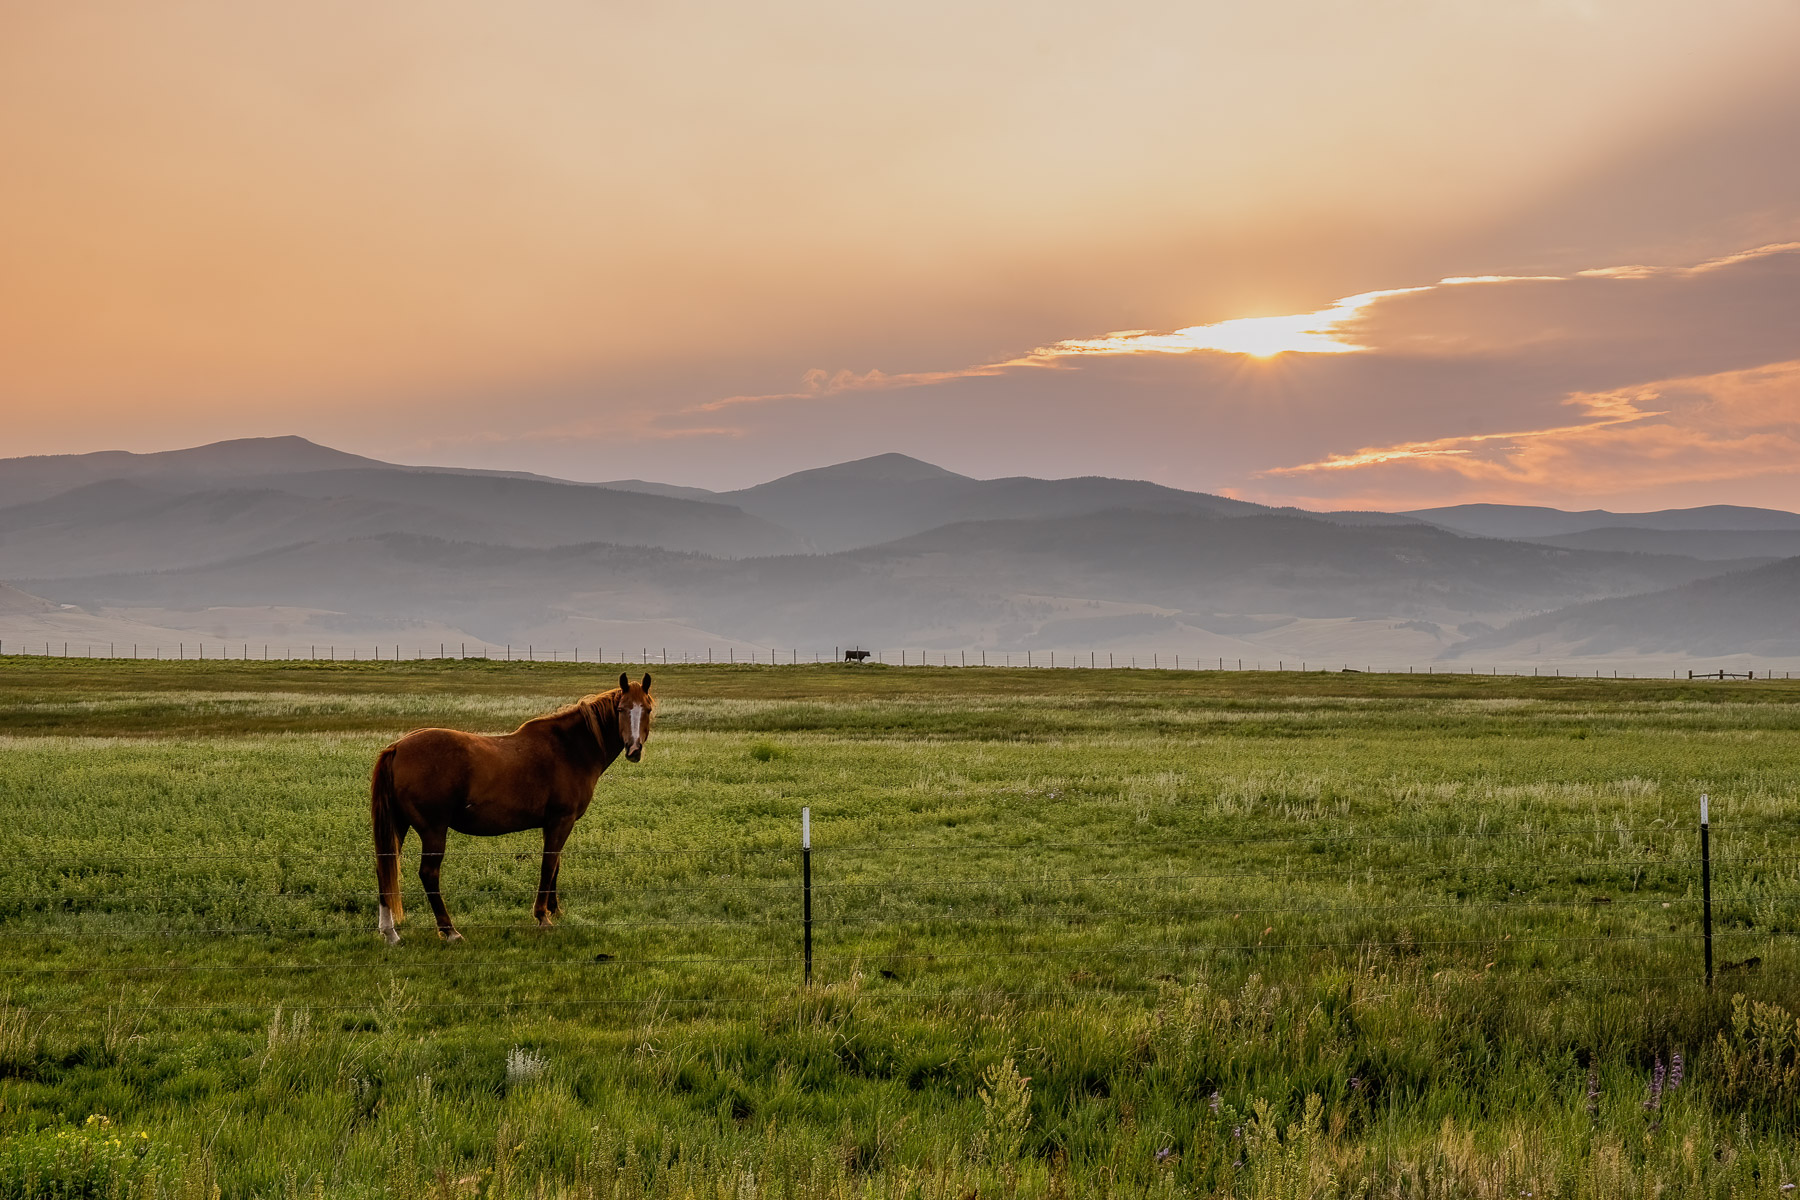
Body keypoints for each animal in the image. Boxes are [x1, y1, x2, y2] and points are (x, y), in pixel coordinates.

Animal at [369, 673, 655, 944]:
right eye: (621, 709)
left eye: (648, 709)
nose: (634, 749)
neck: (569, 749)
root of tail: (397, 747)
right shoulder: (561, 820)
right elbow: (548, 865)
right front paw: (542, 916)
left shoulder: (555, 823)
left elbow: (555, 865)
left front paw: (555, 910)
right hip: (433, 831)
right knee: (429, 874)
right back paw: (450, 931)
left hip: (399, 825)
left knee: (385, 868)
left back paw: (390, 932)